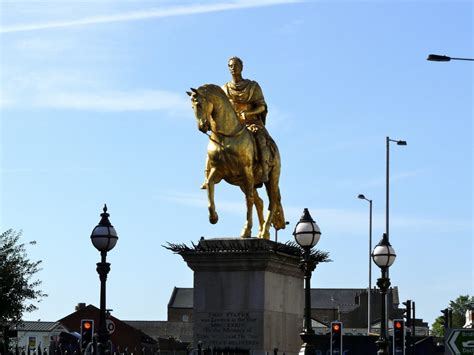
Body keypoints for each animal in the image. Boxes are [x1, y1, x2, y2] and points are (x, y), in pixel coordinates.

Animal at [188, 84, 286, 239]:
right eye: (191, 106)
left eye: (199, 104)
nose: (202, 127)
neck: (226, 137)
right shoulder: (218, 170)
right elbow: (209, 185)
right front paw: (213, 217)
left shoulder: (246, 171)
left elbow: (249, 200)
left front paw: (246, 230)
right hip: (244, 182)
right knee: (260, 202)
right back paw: (261, 232)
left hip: (272, 178)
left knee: (272, 202)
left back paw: (264, 232)